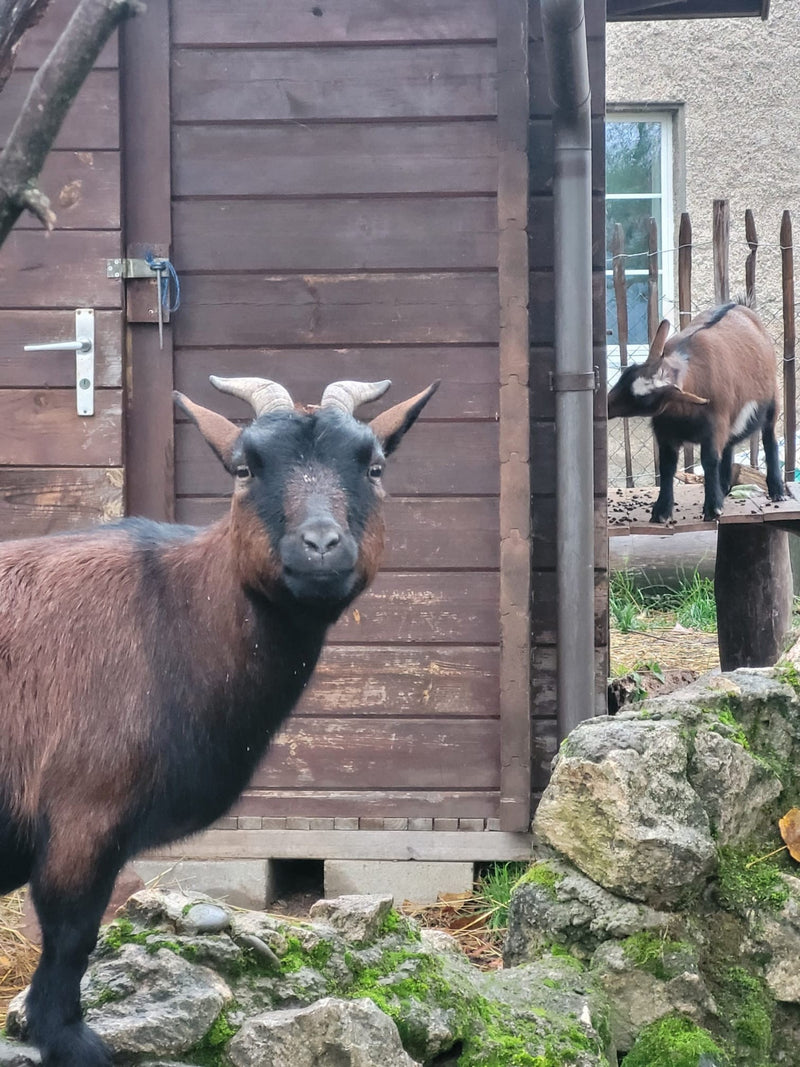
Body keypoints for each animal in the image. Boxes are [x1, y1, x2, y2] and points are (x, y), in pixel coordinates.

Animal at [0, 374, 438, 1067]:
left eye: (374, 465)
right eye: (242, 467)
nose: (320, 546)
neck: (169, 613)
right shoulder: (82, 816)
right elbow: (72, 936)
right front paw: (66, 1037)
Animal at [607, 300, 784, 522]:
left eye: (646, 402)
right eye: (627, 372)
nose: (606, 406)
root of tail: (741, 305)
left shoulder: (714, 427)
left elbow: (709, 460)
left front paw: (712, 508)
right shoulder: (665, 433)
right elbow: (667, 466)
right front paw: (661, 511)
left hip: (772, 400)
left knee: (769, 438)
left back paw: (777, 489)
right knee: (729, 446)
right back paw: (724, 486)